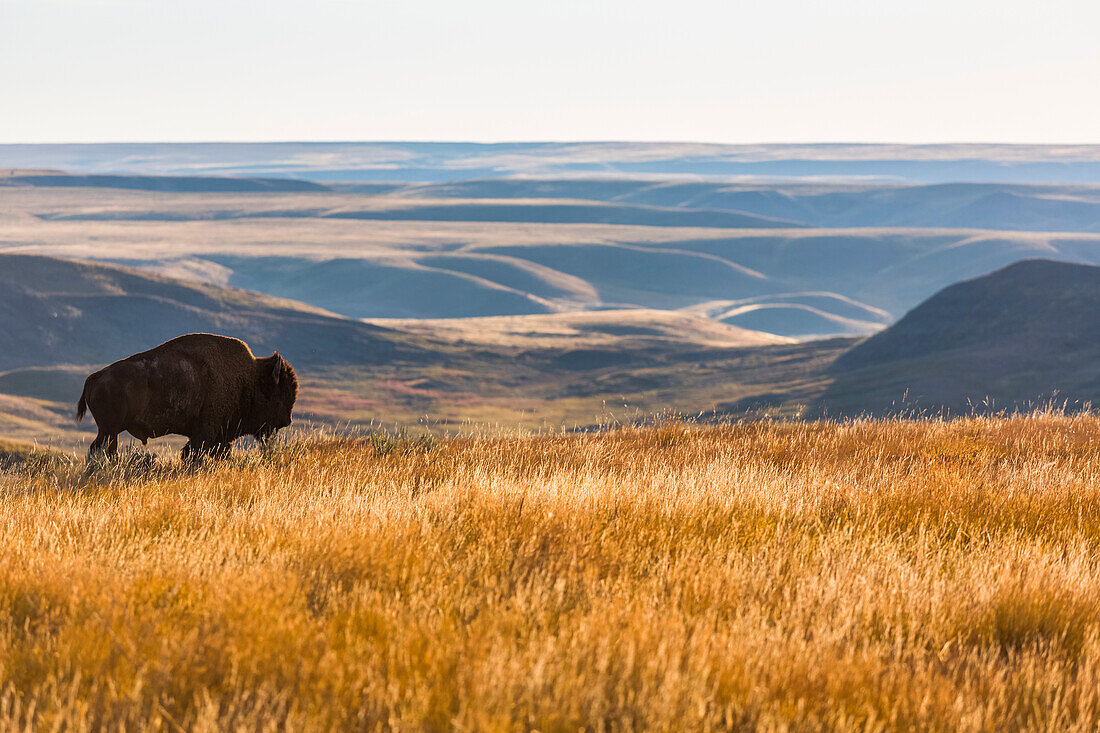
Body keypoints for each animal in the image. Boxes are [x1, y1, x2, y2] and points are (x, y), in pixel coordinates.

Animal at [74, 330, 299, 457]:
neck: (250, 377)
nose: (286, 420)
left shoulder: (219, 438)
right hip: (109, 431)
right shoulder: (207, 434)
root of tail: (95, 377)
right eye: (281, 393)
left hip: (109, 432)